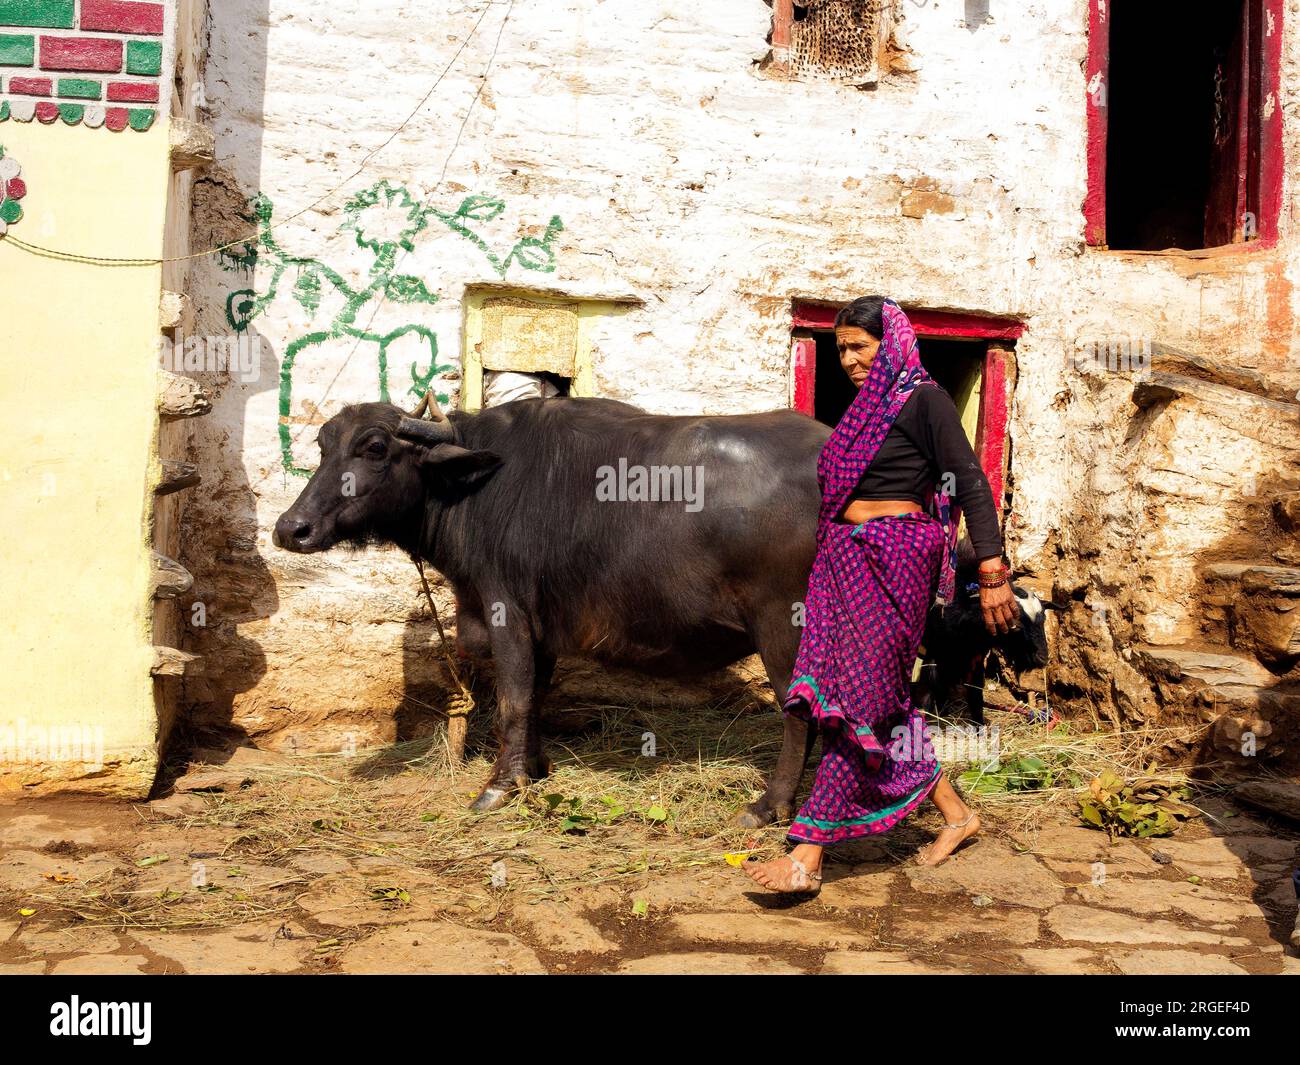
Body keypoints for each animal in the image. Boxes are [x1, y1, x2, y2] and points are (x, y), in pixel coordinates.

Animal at [274, 395, 1045, 821]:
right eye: (321, 444)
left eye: (375, 446)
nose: (292, 529)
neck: (475, 486)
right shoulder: (543, 625)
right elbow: (539, 697)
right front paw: (537, 770)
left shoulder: (506, 611)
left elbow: (515, 698)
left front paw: (498, 787)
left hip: (787, 623)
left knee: (801, 711)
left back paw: (772, 805)